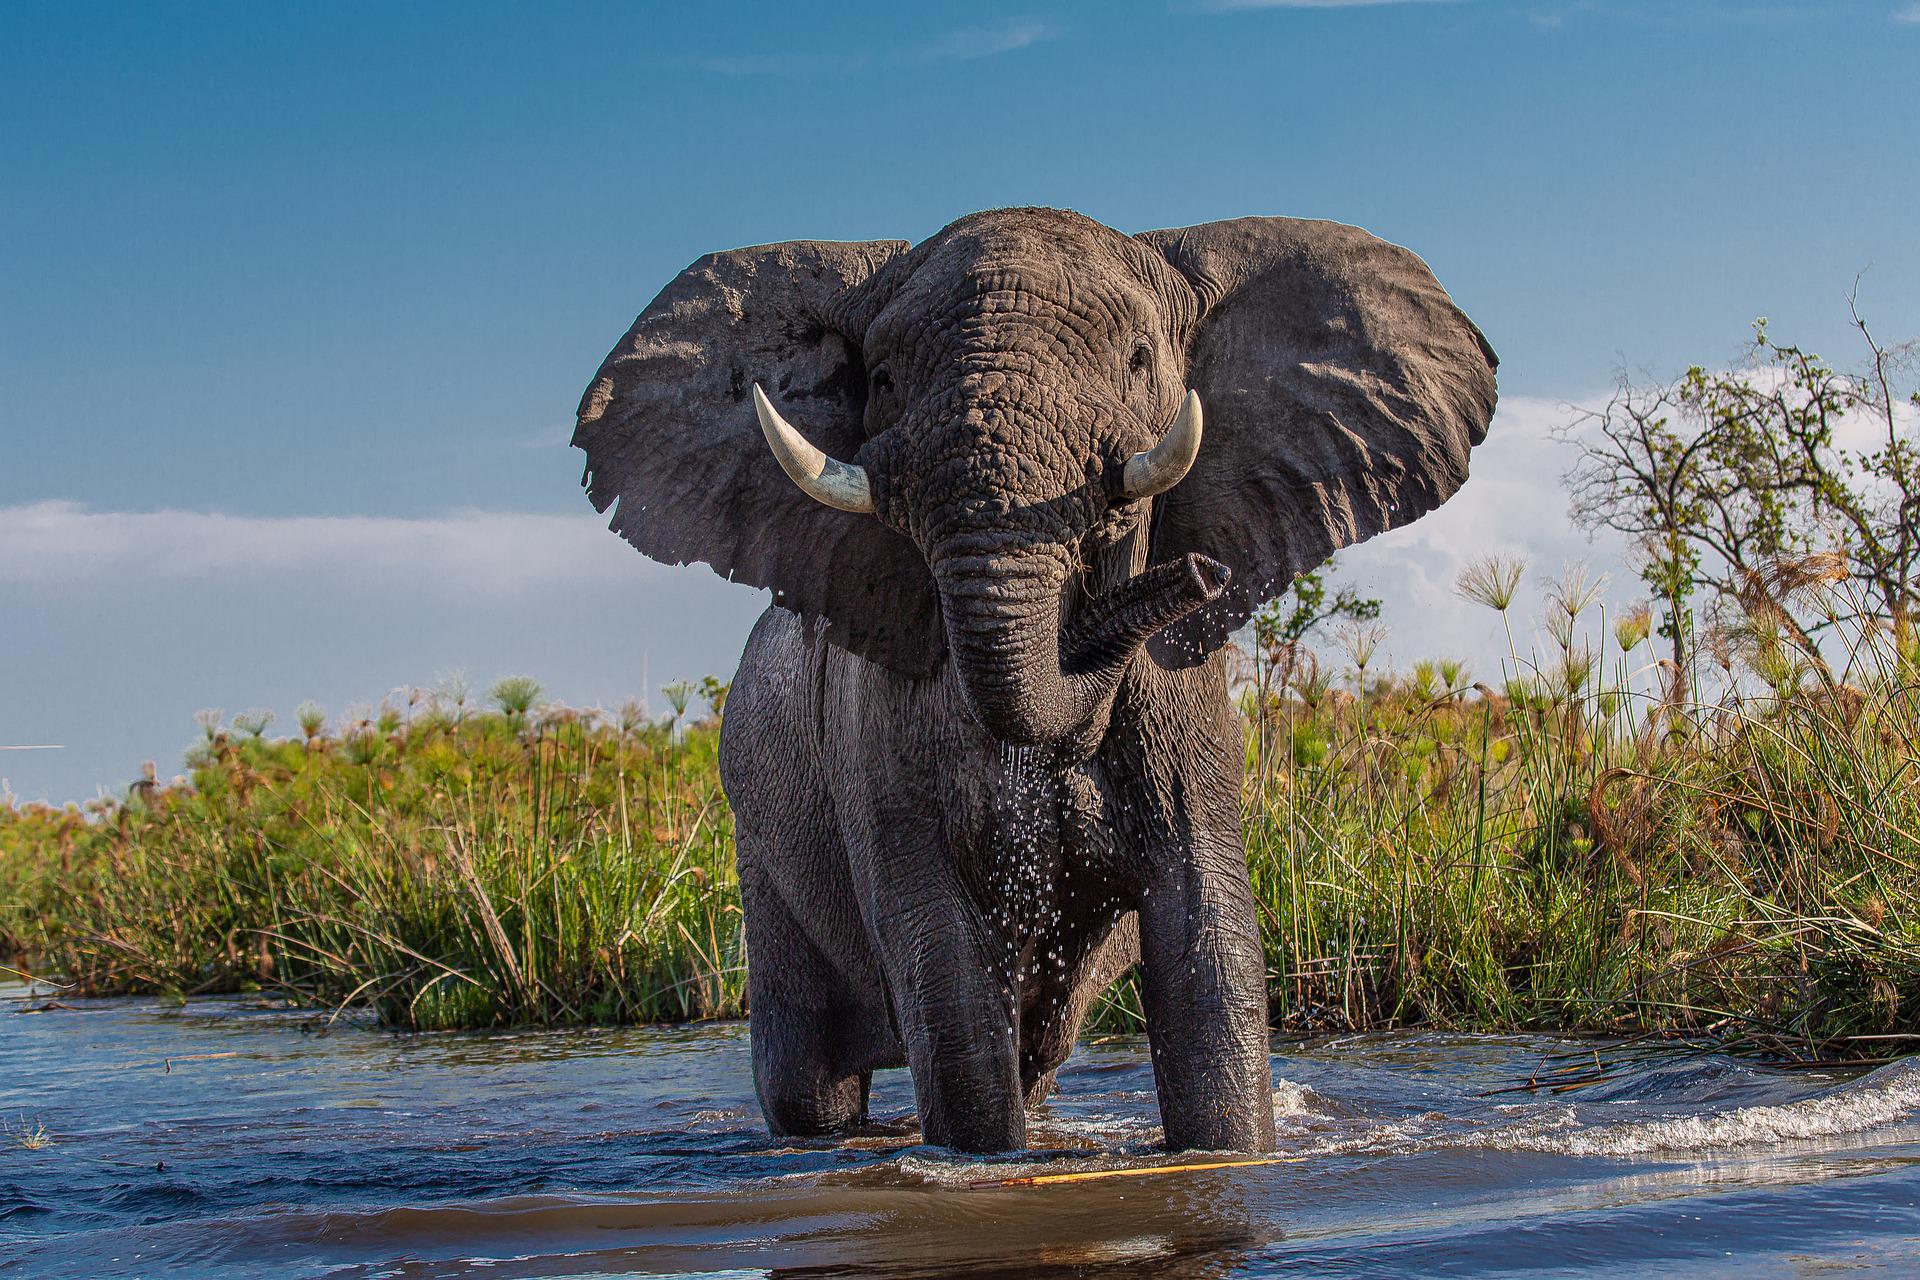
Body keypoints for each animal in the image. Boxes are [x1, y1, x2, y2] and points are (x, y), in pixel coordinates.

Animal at [573, 208, 1496, 1154]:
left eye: (1139, 359)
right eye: (883, 379)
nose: (1199, 574)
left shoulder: (1186, 711)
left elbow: (1210, 943)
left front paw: (1227, 1156)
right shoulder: (875, 732)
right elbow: (941, 964)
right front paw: (983, 1165)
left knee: (1035, 1056)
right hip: (760, 837)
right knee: (810, 1082)